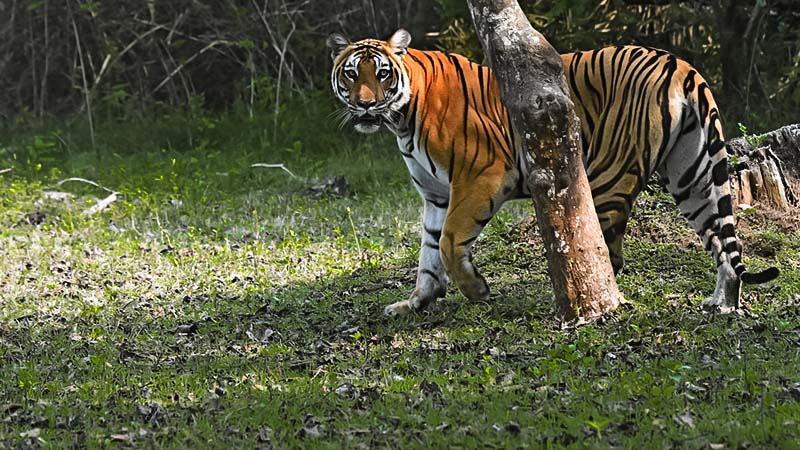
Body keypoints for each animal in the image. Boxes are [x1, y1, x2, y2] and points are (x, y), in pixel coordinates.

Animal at [326, 29, 779, 317]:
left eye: (382, 73)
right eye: (351, 73)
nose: (365, 105)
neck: (401, 119)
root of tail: (679, 63)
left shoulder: (480, 175)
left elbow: (451, 242)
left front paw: (476, 290)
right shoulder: (435, 195)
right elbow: (428, 253)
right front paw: (416, 302)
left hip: (606, 177)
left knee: (605, 255)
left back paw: (581, 307)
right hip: (692, 174)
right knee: (722, 240)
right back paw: (723, 304)